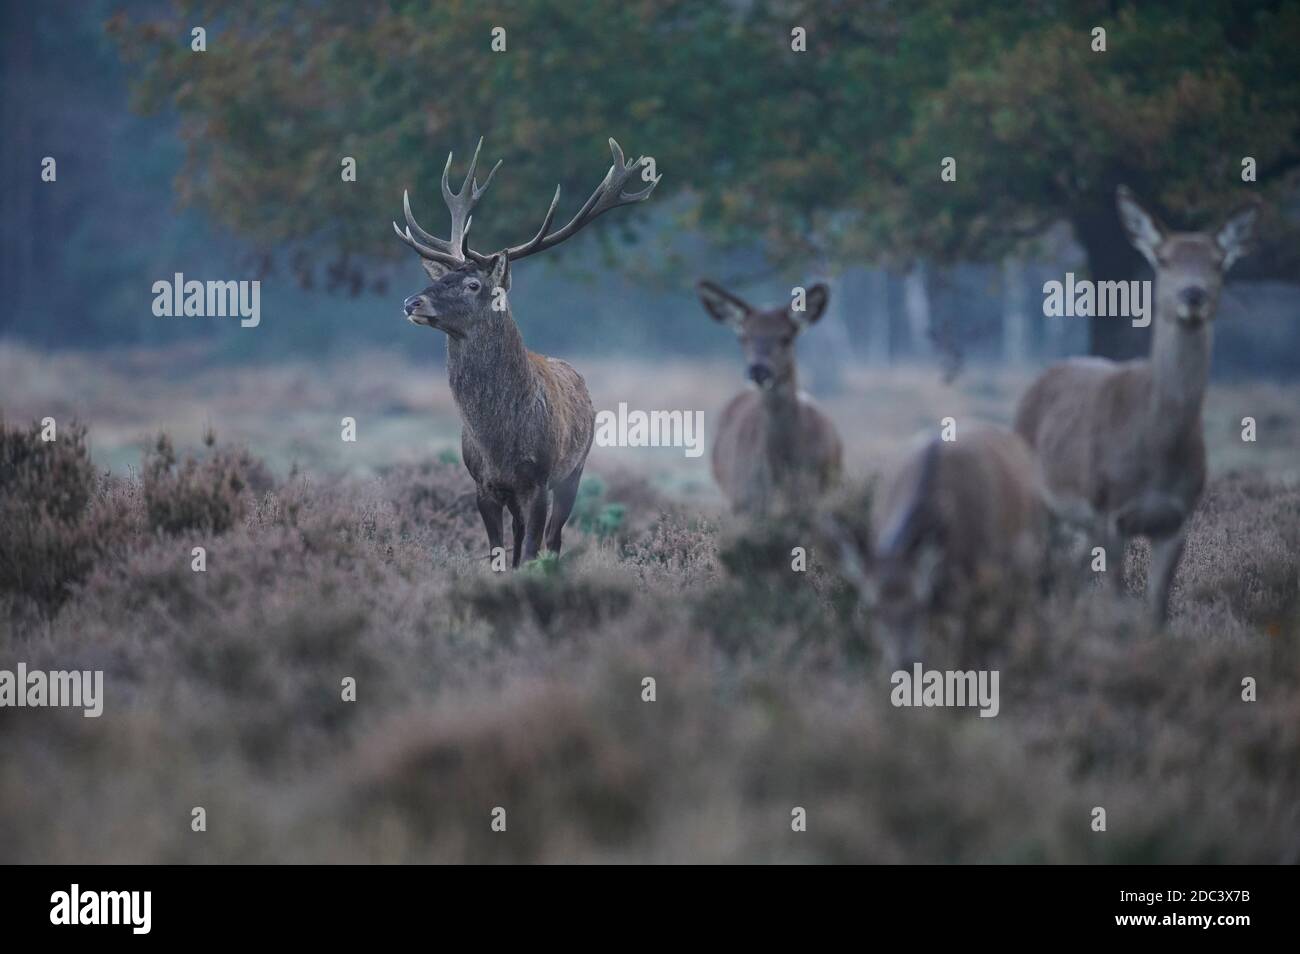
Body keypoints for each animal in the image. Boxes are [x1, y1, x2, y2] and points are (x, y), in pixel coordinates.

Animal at [394, 137, 659, 566]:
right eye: (443, 277)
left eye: (472, 284)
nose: (411, 302)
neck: (498, 439)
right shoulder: (483, 485)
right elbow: (500, 554)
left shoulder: (538, 481)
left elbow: (533, 549)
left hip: (574, 471)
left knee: (553, 539)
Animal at [1014, 186, 1260, 622]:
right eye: (1163, 259)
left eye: (1219, 261)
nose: (1193, 295)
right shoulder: (1110, 511)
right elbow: (1116, 599)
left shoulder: (1177, 519)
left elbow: (1156, 611)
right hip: (1042, 500)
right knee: (1039, 574)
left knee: (1066, 577)